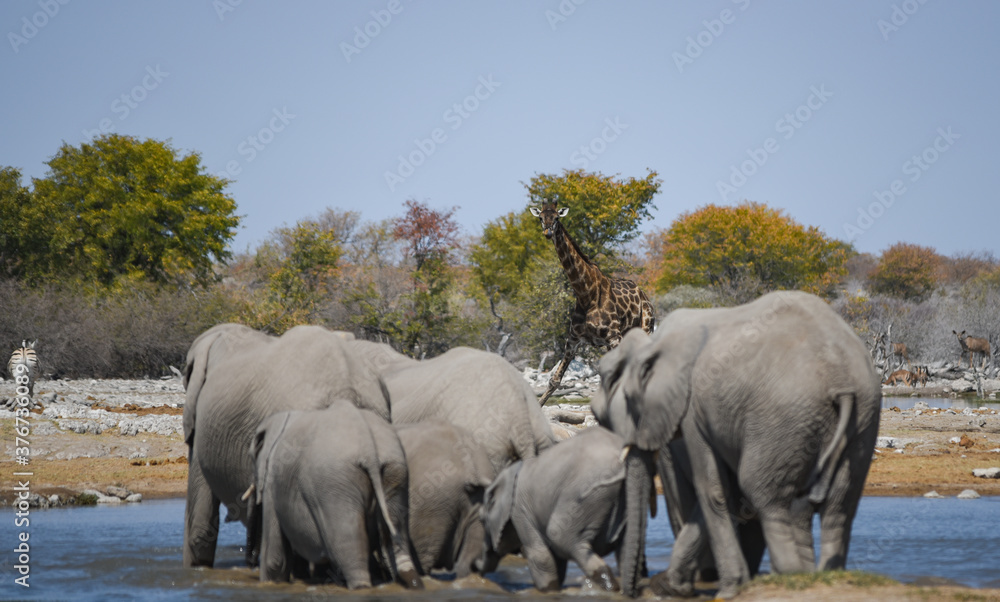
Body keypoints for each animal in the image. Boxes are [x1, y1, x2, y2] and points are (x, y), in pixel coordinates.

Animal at [530, 203, 655, 405]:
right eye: (541, 217)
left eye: (556, 217)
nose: (548, 232)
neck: (585, 293)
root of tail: (645, 296)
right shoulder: (573, 340)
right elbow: (554, 380)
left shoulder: (614, 337)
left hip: (646, 328)